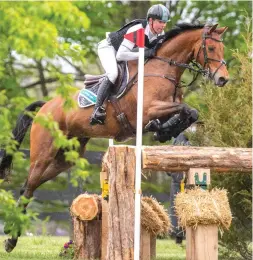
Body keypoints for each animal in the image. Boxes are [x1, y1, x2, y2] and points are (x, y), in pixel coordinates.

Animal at [0, 22, 229, 252]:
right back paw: (11, 239)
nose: (223, 79)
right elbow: (185, 109)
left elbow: (190, 113)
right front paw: (161, 129)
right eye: (210, 48)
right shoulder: (149, 109)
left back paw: (12, 234)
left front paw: (163, 130)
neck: (163, 71)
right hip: (44, 153)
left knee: (29, 185)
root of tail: (45, 107)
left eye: (222, 48)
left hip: (65, 157)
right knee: (29, 187)